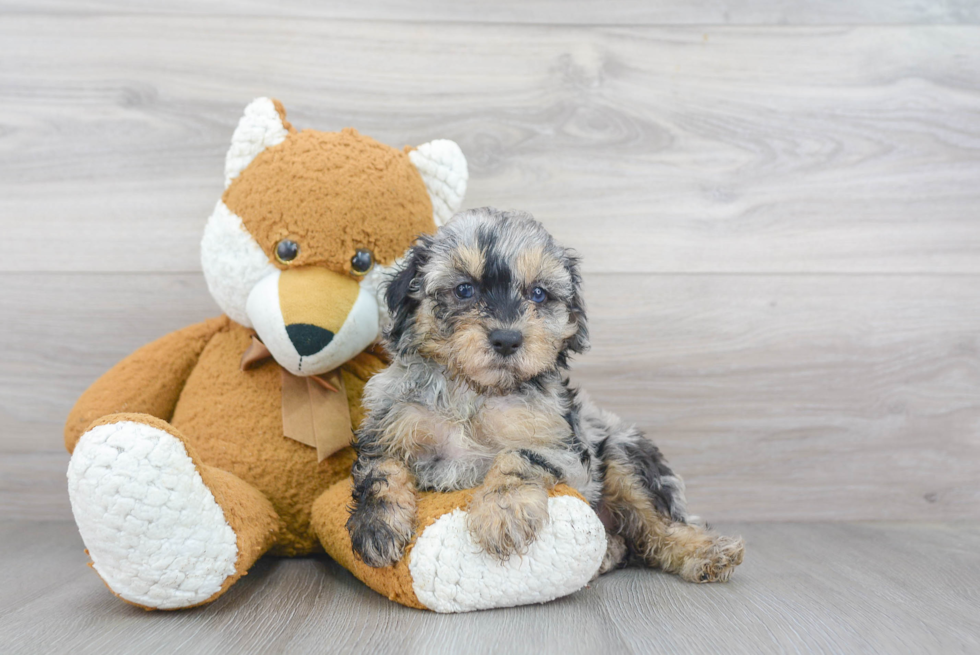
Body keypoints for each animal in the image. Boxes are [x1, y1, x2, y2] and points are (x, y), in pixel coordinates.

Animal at [344, 208, 744, 580]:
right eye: (464, 289)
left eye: (538, 293)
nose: (507, 339)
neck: (475, 392)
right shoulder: (388, 427)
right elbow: (381, 470)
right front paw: (376, 524)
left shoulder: (565, 450)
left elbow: (518, 457)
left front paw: (502, 513)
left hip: (623, 455)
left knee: (658, 526)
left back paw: (706, 552)